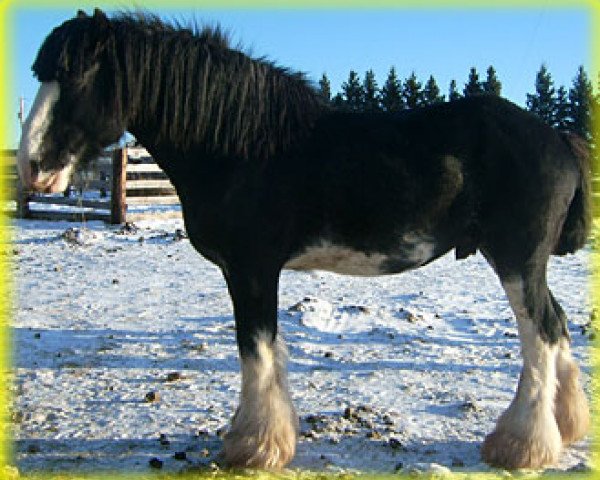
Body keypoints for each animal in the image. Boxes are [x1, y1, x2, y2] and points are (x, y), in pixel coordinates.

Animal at [17, 9, 592, 470]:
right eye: (42, 74)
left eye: (76, 75)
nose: (32, 167)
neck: (238, 145)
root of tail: (557, 139)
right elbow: (266, 352)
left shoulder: (251, 269)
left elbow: (256, 351)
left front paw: (254, 447)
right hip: (527, 264)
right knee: (558, 324)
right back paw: (564, 427)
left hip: (516, 260)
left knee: (540, 335)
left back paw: (521, 447)